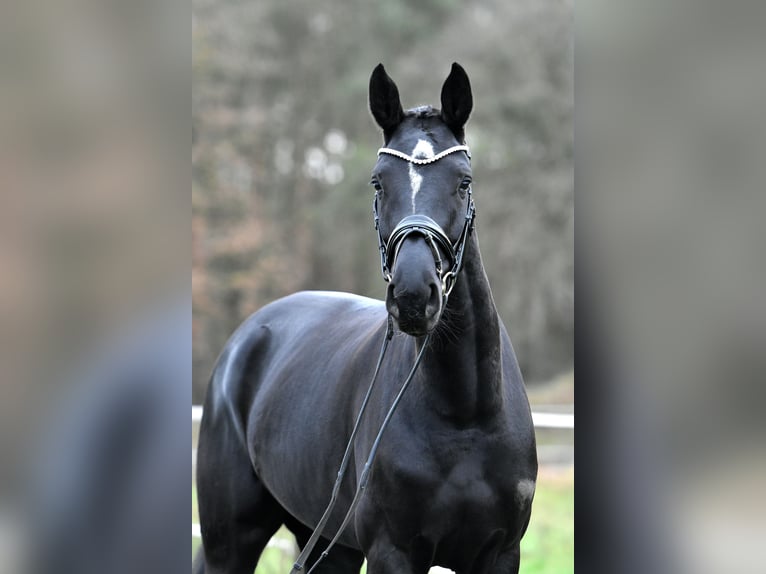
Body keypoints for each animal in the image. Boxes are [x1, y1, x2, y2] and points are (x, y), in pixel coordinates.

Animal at [195, 64, 536, 574]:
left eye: (464, 181)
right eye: (378, 182)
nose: (414, 295)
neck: (466, 415)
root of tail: (245, 340)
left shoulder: (500, 554)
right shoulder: (391, 551)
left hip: (326, 542)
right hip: (231, 541)